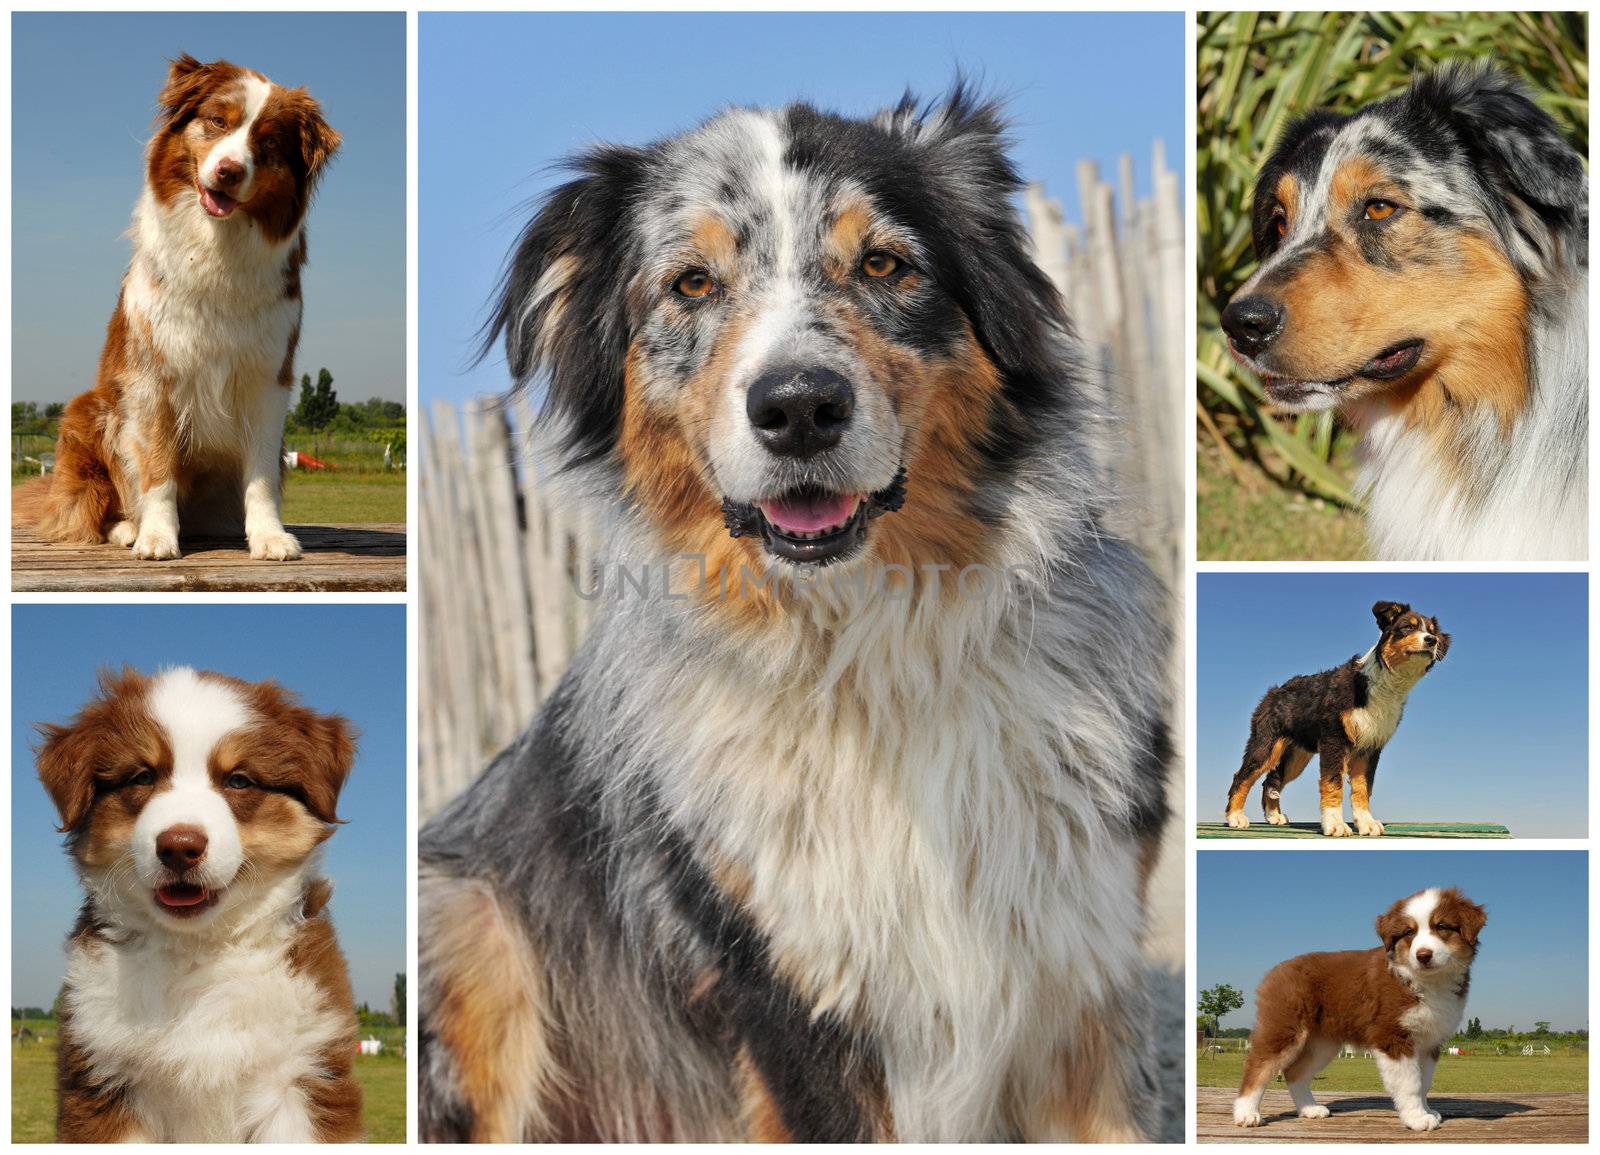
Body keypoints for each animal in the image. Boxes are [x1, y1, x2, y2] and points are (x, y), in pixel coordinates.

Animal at [14, 58, 340, 563]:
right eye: (218, 121)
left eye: (268, 143)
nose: (228, 171)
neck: (216, 247)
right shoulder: (154, 376)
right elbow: (158, 467)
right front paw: (156, 537)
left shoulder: (268, 376)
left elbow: (262, 474)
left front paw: (269, 537)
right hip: (88, 414)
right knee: (89, 509)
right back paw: (127, 528)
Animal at [36, 665, 363, 1145]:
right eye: (142, 777)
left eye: (238, 780)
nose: (179, 847)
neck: (196, 951)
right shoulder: (104, 1078)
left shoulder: (302, 1072)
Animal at [419, 85, 1177, 1139]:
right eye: (692, 284)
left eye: (884, 264)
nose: (799, 407)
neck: (866, 655)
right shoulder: (783, 997)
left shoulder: (1085, 983)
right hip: (470, 925)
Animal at [1235, 889, 1484, 1126]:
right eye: (1409, 933)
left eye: (1442, 926)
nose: (1423, 955)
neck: (1427, 981)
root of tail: (1276, 970)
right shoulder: (1392, 1036)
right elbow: (1410, 1084)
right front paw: (1417, 1119)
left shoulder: (1429, 1042)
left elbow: (1425, 1082)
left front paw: (1427, 1111)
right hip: (1285, 1026)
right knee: (1257, 1066)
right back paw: (1246, 1114)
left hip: (1321, 1043)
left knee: (1294, 1072)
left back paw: (1309, 1109)